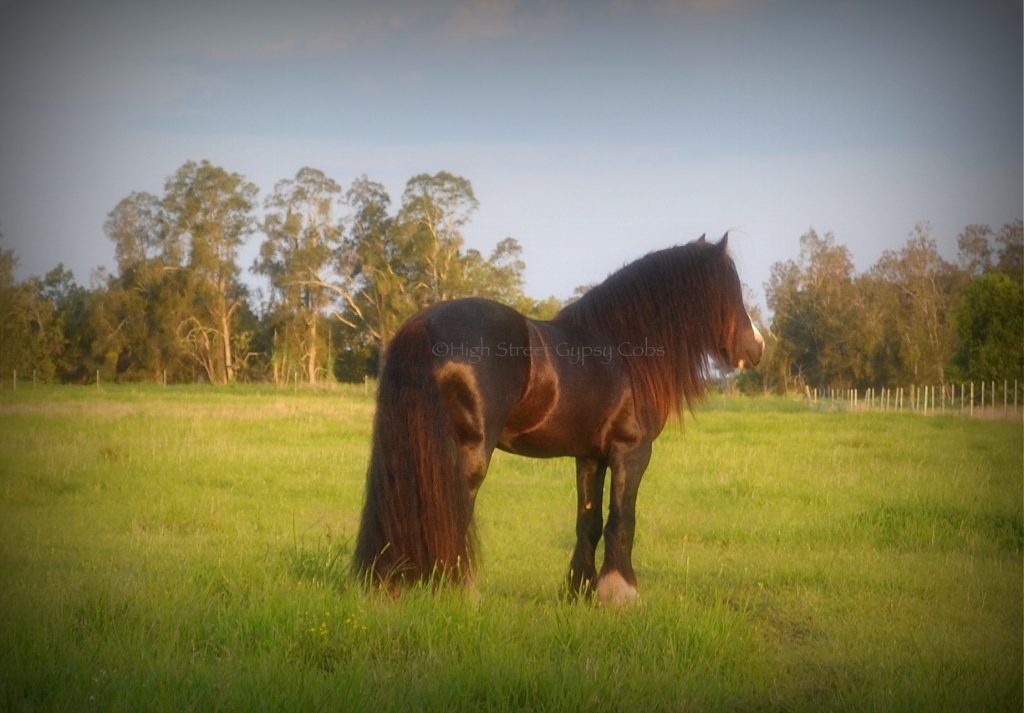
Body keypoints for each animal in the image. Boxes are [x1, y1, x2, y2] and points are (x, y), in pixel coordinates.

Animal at [352, 235, 761, 606]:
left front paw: (578, 590)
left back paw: (389, 584)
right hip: (468, 452)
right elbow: (622, 520)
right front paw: (621, 594)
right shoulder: (631, 452)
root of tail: (424, 324)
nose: (757, 348)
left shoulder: (591, 457)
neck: (623, 349)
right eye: (731, 290)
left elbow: (589, 523)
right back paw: (461, 590)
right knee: (455, 509)